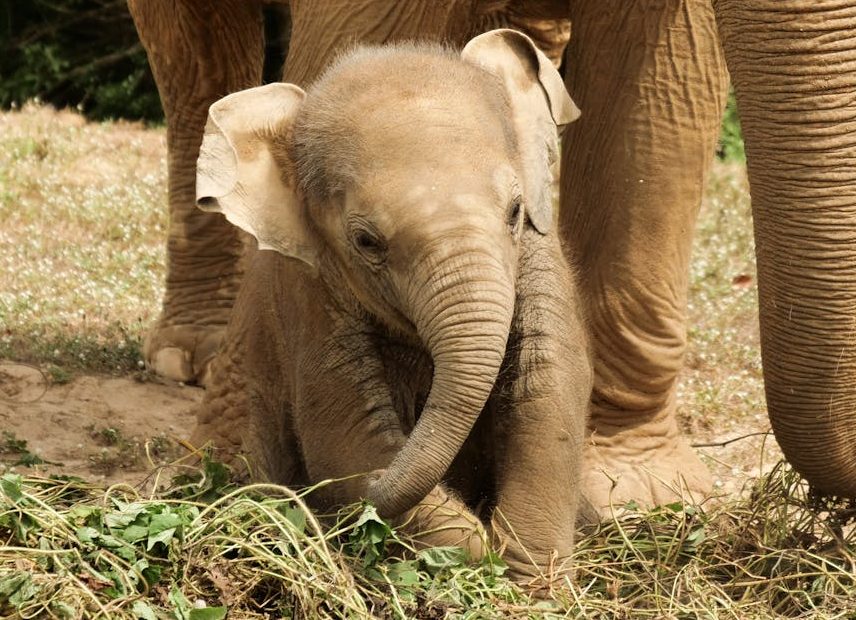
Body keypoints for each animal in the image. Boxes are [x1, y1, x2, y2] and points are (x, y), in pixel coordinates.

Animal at [129, 0, 856, 518]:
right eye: (364, 243)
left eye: (515, 214)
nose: (830, 516)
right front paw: (241, 483)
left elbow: (660, 93)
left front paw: (642, 497)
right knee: (195, 60)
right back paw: (190, 368)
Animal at [189, 30, 592, 585]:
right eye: (365, 242)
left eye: (514, 212)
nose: (307, 498)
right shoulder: (309, 293)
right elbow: (347, 439)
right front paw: (475, 557)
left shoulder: (540, 248)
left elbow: (550, 390)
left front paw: (528, 580)